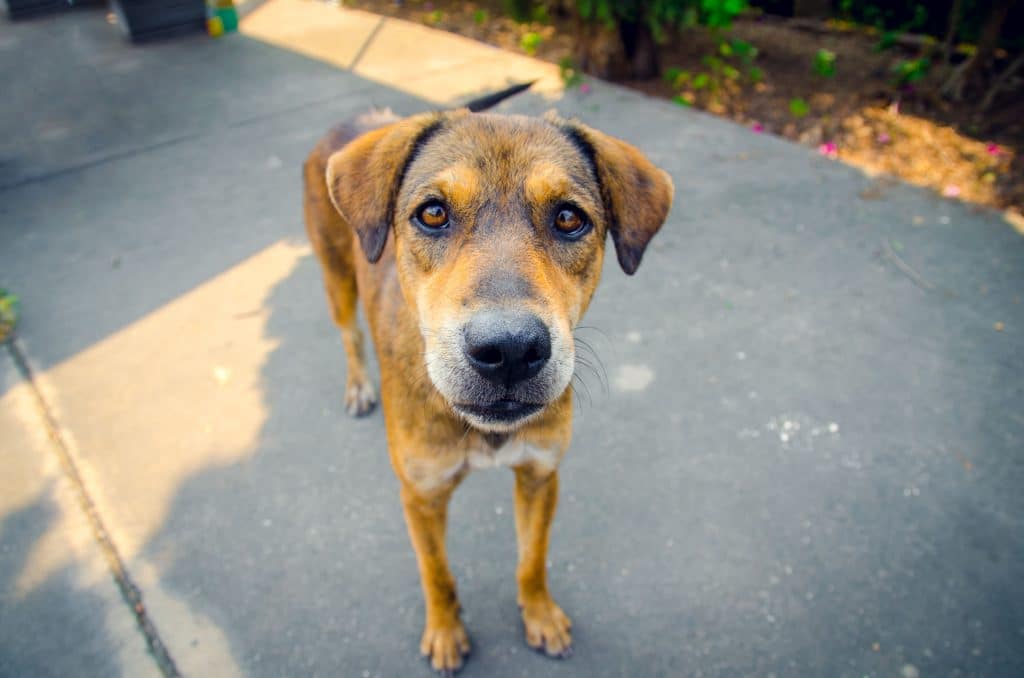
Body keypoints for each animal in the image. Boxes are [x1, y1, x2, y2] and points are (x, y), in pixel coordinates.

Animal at [301, 94, 671, 675]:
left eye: (569, 218)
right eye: (432, 213)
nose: (510, 351)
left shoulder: (541, 474)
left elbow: (532, 559)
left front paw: (539, 614)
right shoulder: (421, 494)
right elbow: (437, 573)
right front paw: (445, 631)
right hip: (335, 274)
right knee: (348, 334)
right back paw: (359, 385)